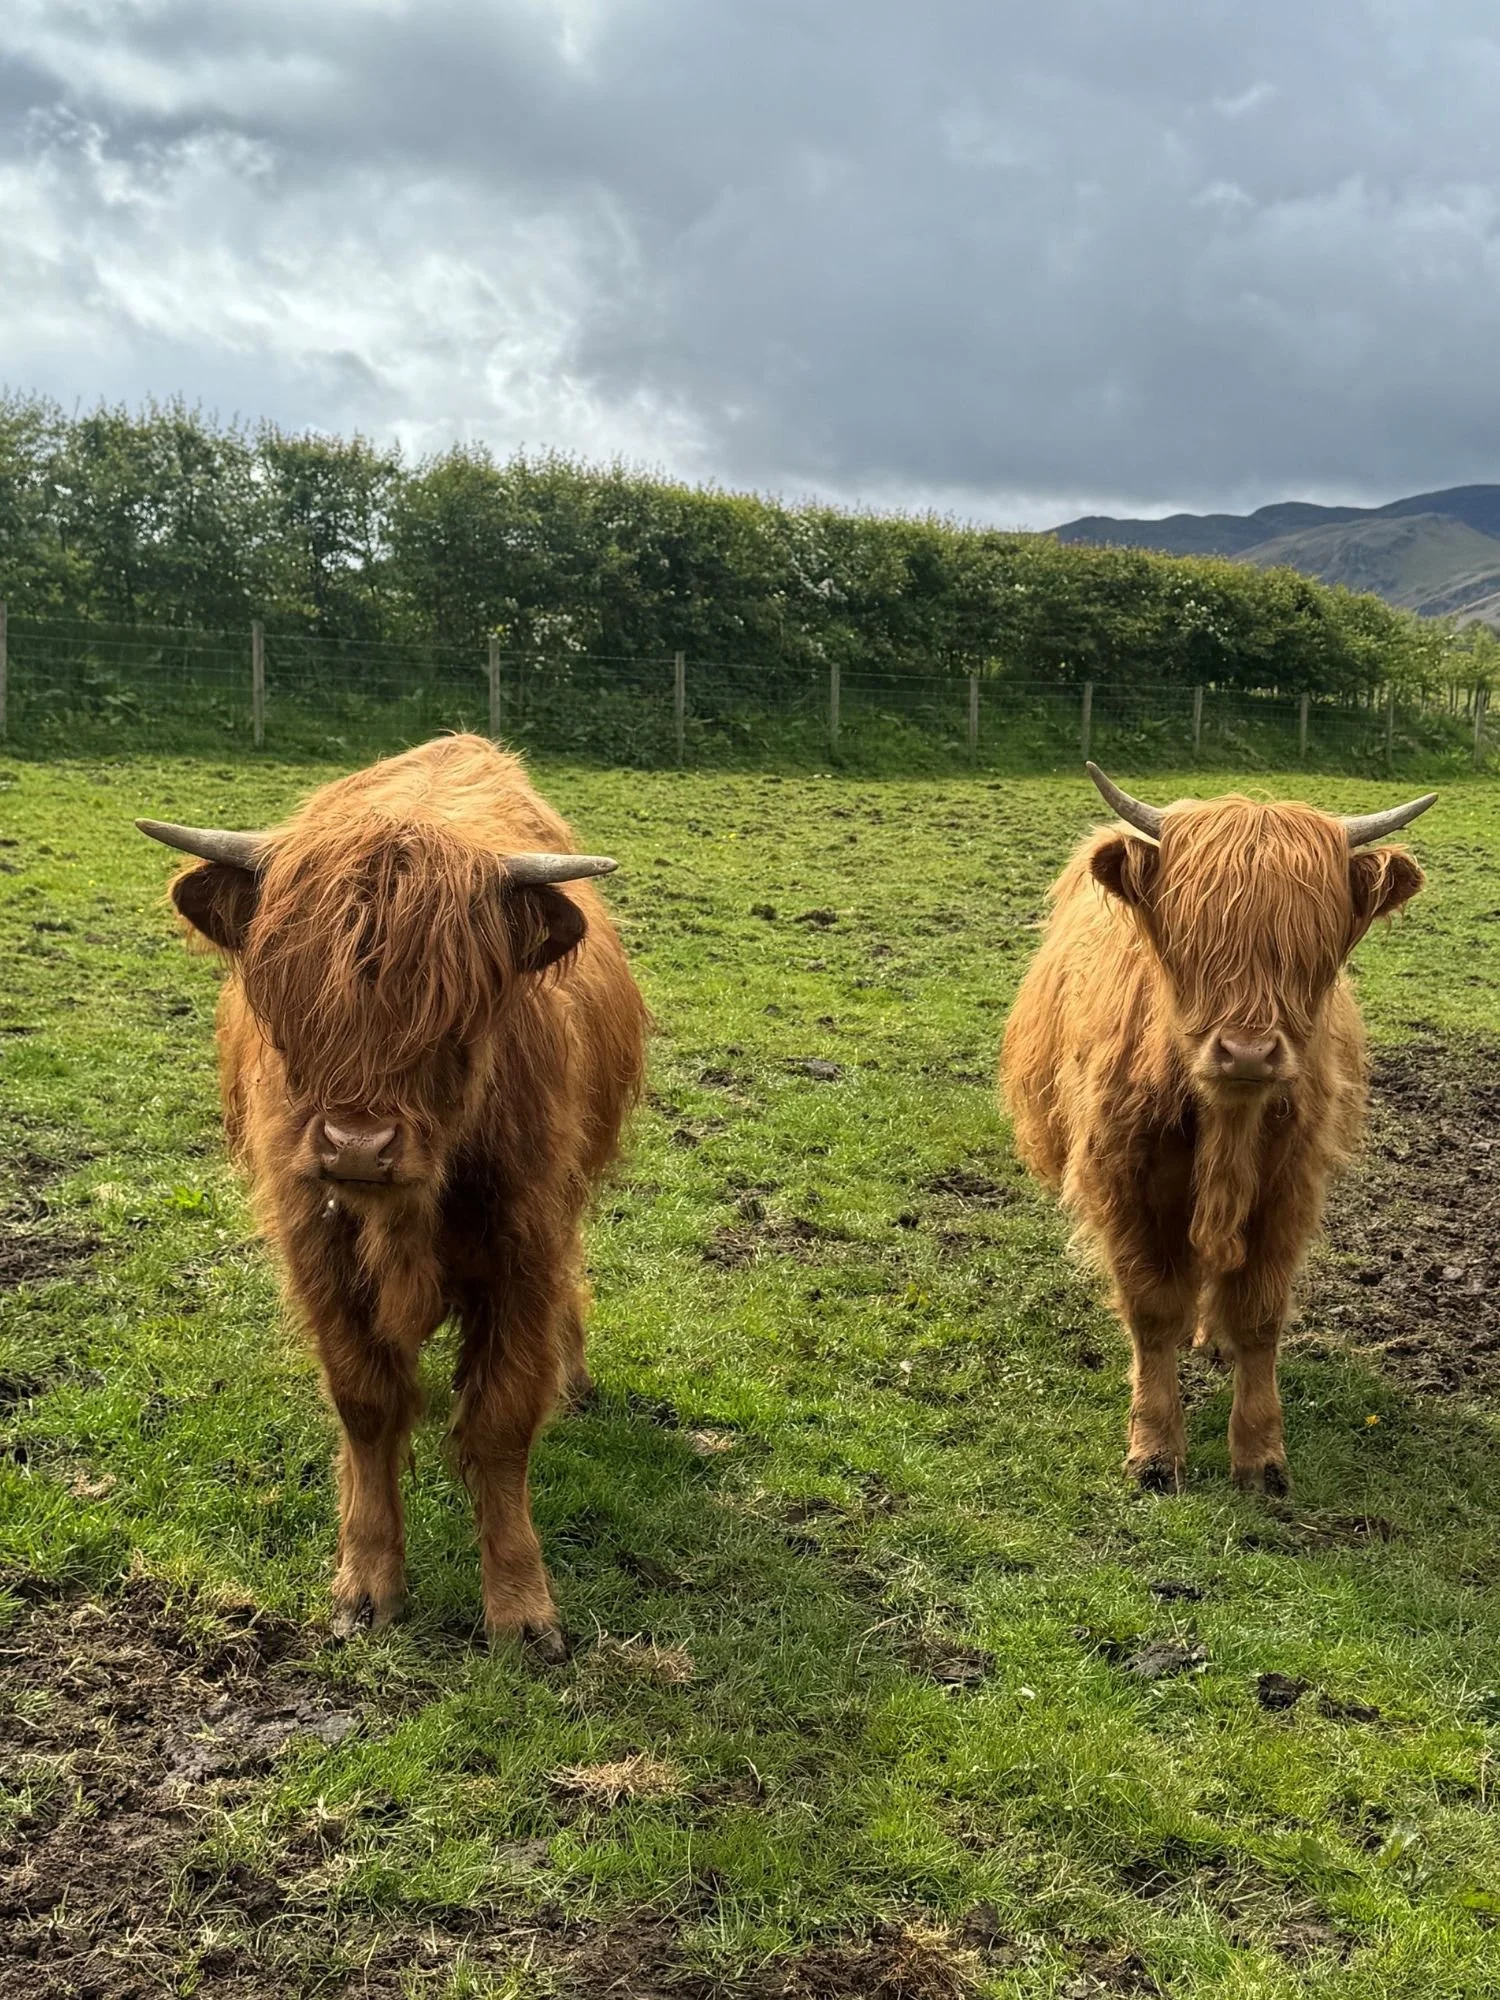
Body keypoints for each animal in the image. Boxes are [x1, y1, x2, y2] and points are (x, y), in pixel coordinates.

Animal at [137, 735, 649, 1653]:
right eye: (291, 1001)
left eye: (455, 1016)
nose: (357, 1147)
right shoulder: (318, 1248)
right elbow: (366, 1404)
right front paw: (366, 1585)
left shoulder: (525, 1245)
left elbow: (501, 1419)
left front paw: (522, 1608)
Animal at [1000, 764, 1434, 1496]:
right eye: (1189, 941)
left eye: (1312, 947)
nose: (1248, 1053)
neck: (1226, 1125)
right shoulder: (1126, 1183)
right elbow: (1151, 1309)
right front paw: (1154, 1450)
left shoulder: (1287, 1189)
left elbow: (1259, 1315)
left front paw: (1260, 1455)